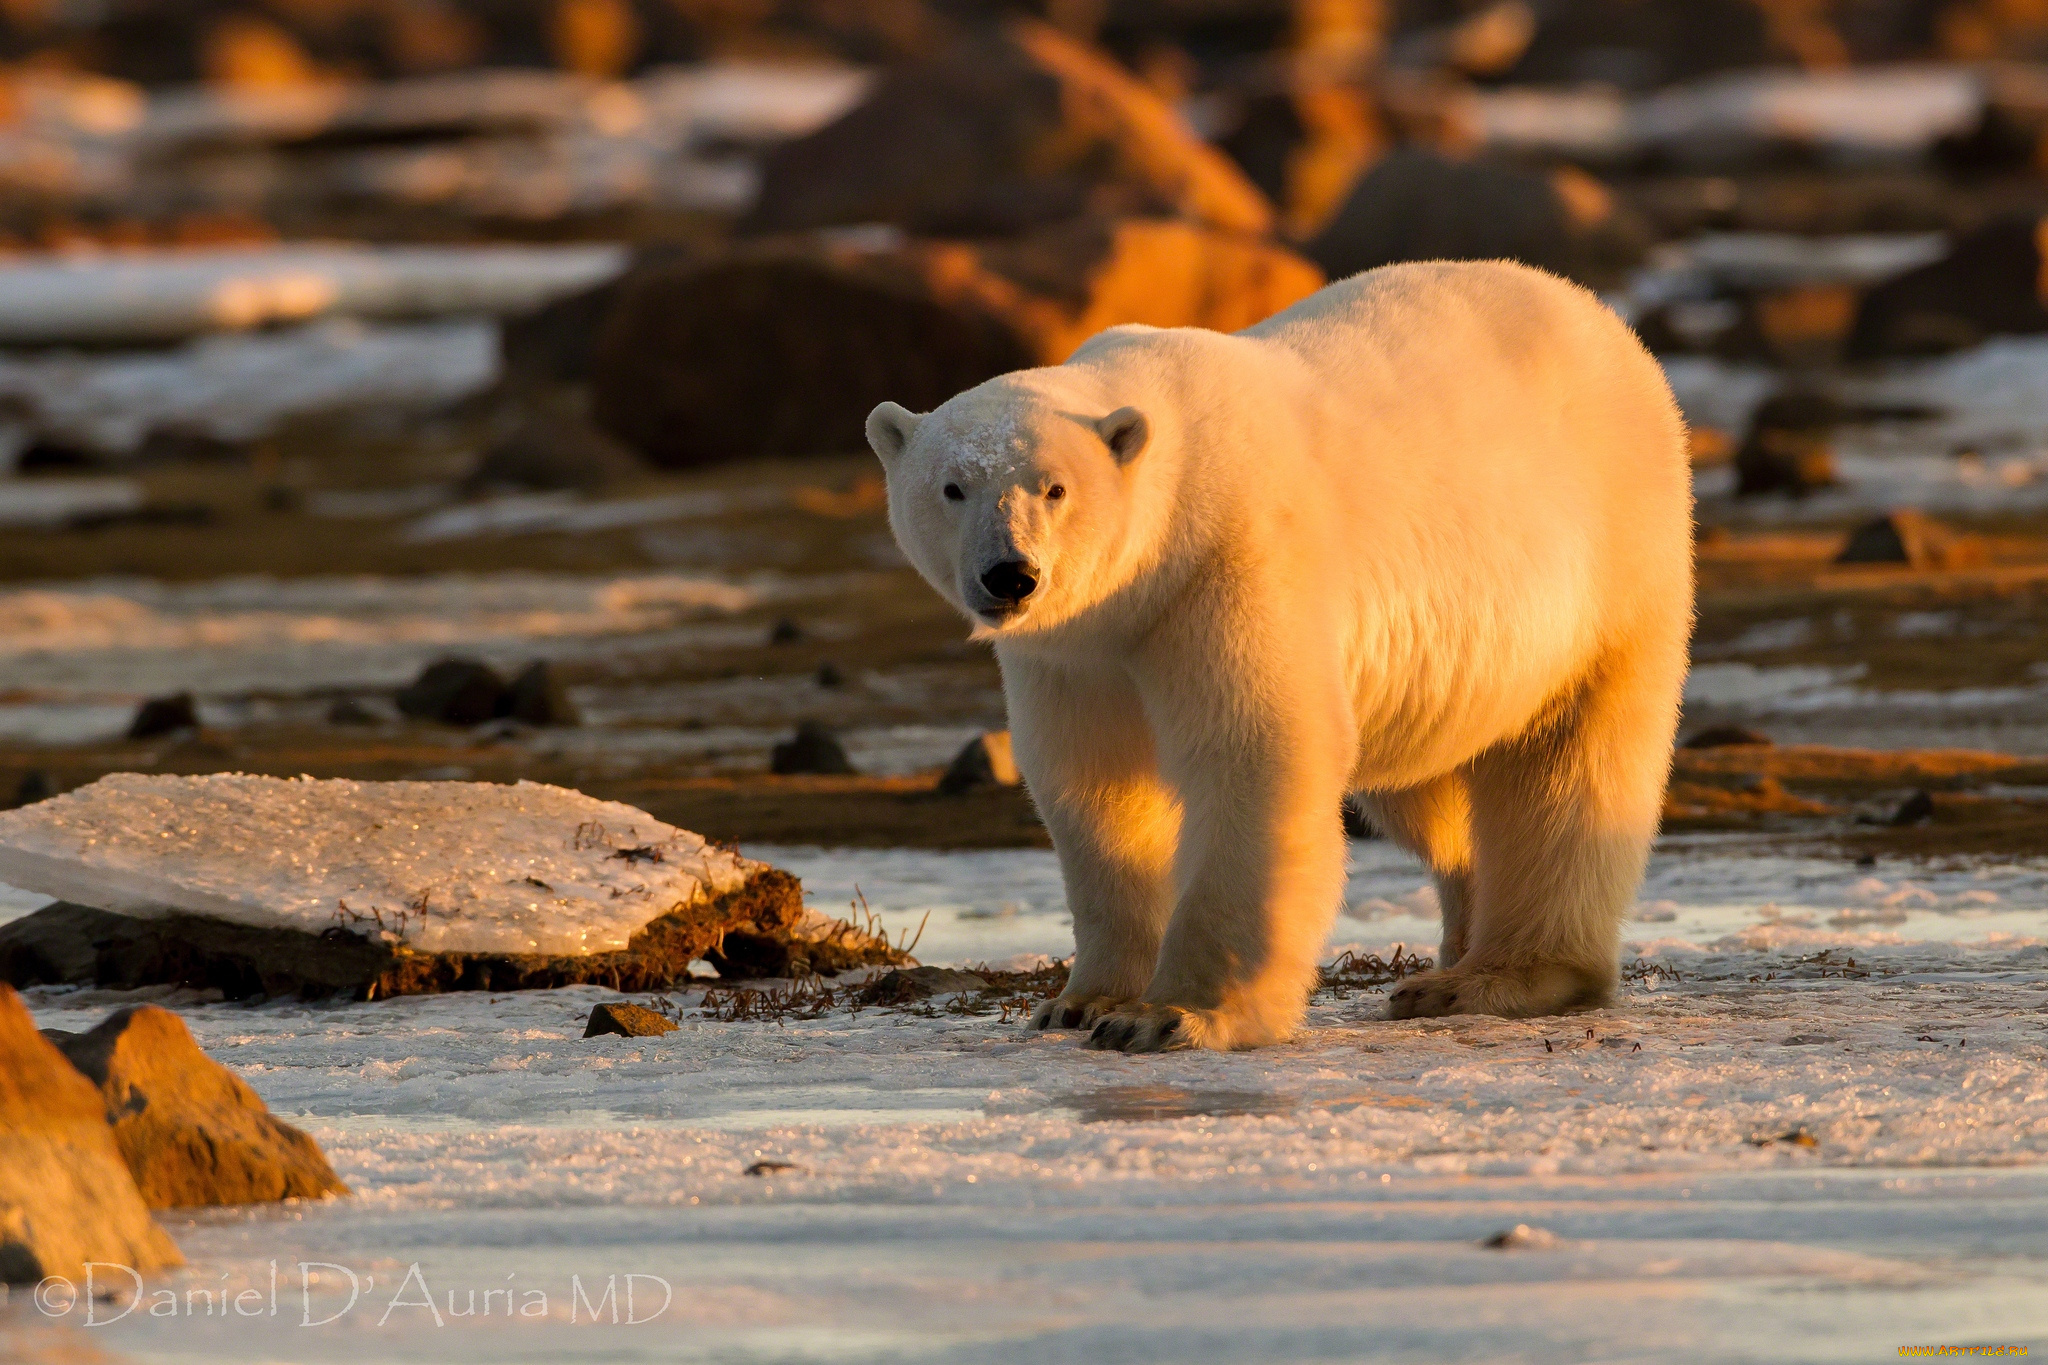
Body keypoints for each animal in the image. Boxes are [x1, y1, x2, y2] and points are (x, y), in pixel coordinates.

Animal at [868, 266, 1695, 1055]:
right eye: (952, 487)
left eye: (1055, 487)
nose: (1010, 575)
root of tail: (1606, 322)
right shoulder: (1078, 653)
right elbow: (1094, 788)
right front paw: (1080, 1001)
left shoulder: (1227, 563)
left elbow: (1254, 755)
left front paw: (1169, 1017)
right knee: (1431, 790)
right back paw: (1452, 956)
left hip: (1611, 569)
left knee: (1566, 770)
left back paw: (1497, 975)